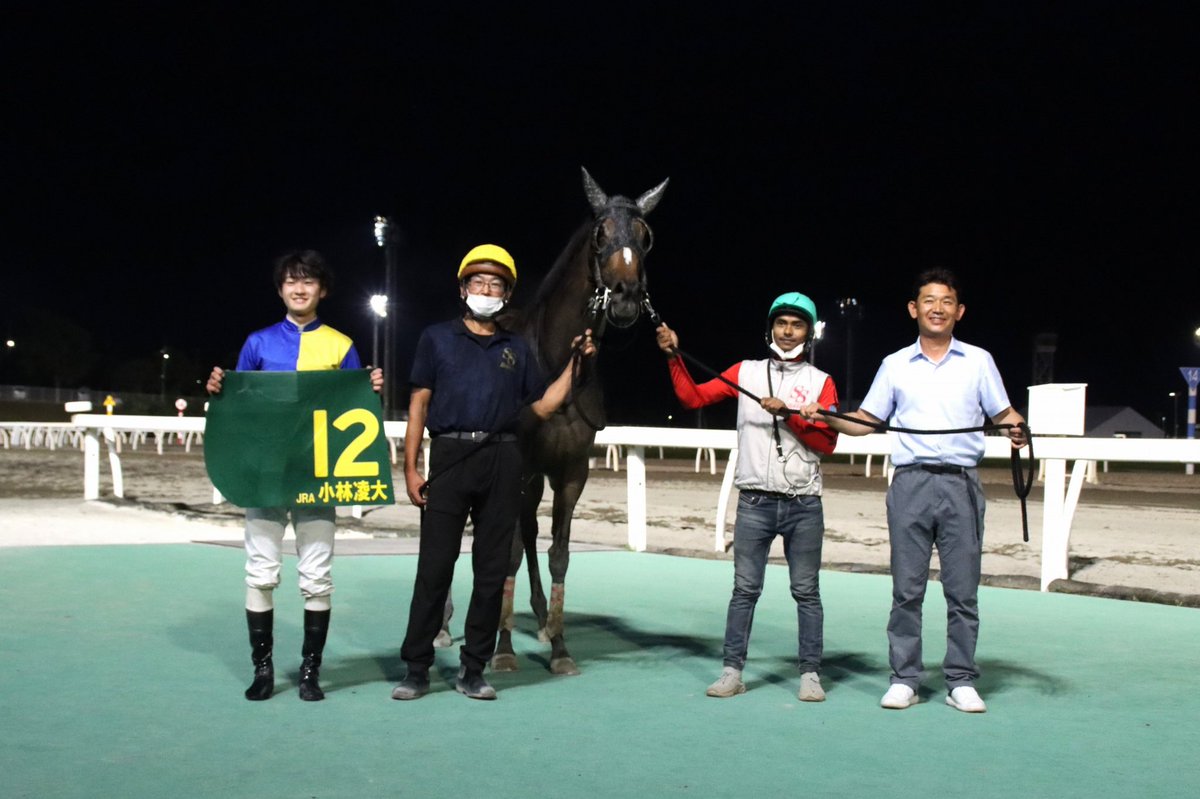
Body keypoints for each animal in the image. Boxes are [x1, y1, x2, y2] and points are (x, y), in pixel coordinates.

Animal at [490, 166, 668, 676]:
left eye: (645, 236)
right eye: (600, 233)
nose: (626, 297)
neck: (556, 364)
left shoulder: (571, 470)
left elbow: (559, 554)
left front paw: (559, 645)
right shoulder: (518, 466)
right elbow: (507, 551)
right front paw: (503, 648)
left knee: (530, 529)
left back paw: (537, 617)